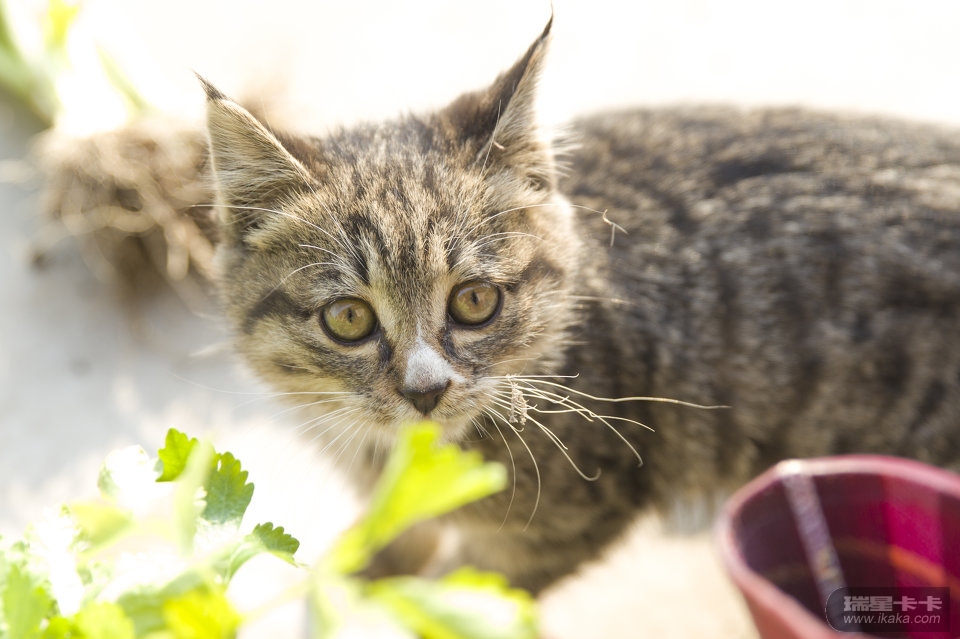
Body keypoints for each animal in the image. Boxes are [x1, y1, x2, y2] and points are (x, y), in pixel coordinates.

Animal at [202, 18, 960, 594]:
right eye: (349, 318)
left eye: (475, 301)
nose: (424, 390)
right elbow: (404, 526)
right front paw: (366, 563)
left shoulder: (568, 519)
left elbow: (474, 590)